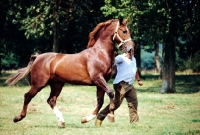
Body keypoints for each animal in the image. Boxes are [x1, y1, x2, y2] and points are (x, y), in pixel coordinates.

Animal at [5, 18, 134, 127]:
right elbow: (110, 93)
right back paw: (18, 118)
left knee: (51, 100)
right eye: (124, 31)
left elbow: (100, 101)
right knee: (27, 96)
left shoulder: (101, 82)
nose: (131, 49)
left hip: (57, 84)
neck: (99, 53)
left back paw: (61, 122)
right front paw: (111, 116)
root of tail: (37, 57)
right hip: (39, 84)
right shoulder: (98, 79)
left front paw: (85, 119)